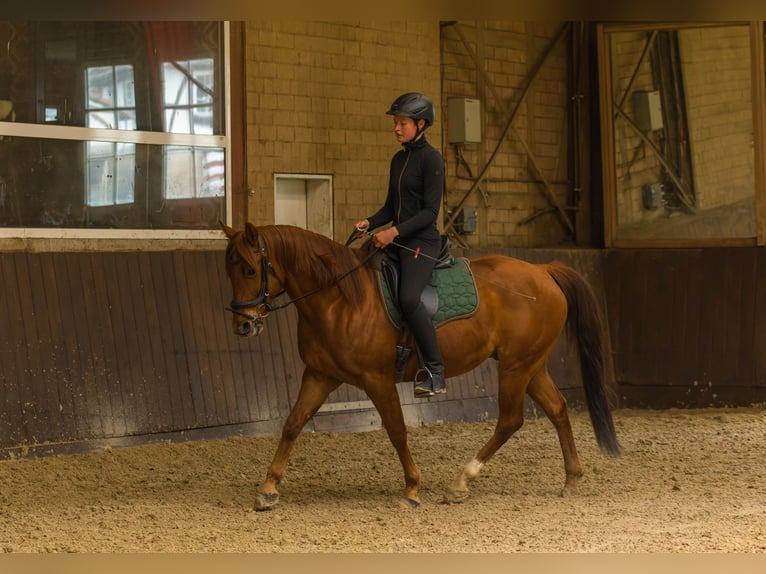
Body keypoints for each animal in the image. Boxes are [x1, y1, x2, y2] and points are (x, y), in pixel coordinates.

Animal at [224, 223, 624, 510]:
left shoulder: (377, 379)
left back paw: (460, 483)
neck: (339, 298)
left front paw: (412, 489)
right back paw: (571, 479)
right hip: (531, 363)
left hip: (516, 366)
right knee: (557, 409)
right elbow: (292, 424)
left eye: (250, 270)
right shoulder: (320, 375)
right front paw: (268, 488)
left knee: (510, 420)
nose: (242, 325)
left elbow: (397, 430)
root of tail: (543, 269)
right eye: (230, 271)